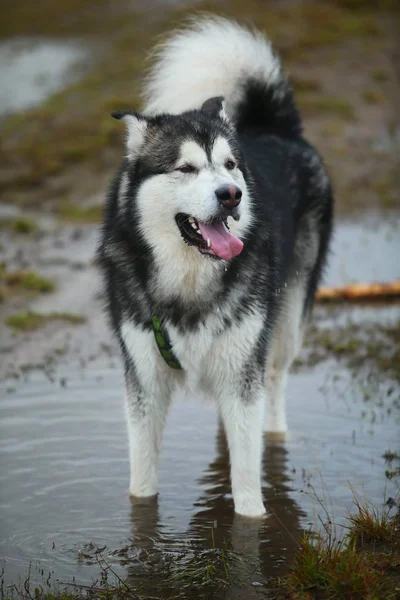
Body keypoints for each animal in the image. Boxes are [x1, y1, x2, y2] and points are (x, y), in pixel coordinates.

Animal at [98, 16, 332, 516]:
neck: (189, 281)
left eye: (228, 165)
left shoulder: (243, 370)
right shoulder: (144, 381)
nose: (231, 194)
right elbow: (141, 483)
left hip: (283, 327)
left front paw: (252, 526)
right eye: (185, 168)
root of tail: (275, 127)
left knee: (273, 386)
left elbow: (246, 488)